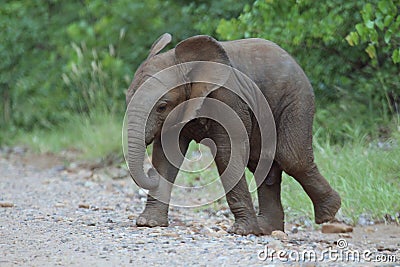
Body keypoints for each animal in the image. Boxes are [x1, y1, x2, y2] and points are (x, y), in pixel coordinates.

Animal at [126, 33, 340, 237]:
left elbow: (226, 153)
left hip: (296, 99)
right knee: (263, 163)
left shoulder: (228, 98)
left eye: (162, 106)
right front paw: (149, 223)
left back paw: (329, 213)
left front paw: (241, 231)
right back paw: (267, 228)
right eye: (127, 99)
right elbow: (166, 155)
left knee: (291, 158)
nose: (150, 173)